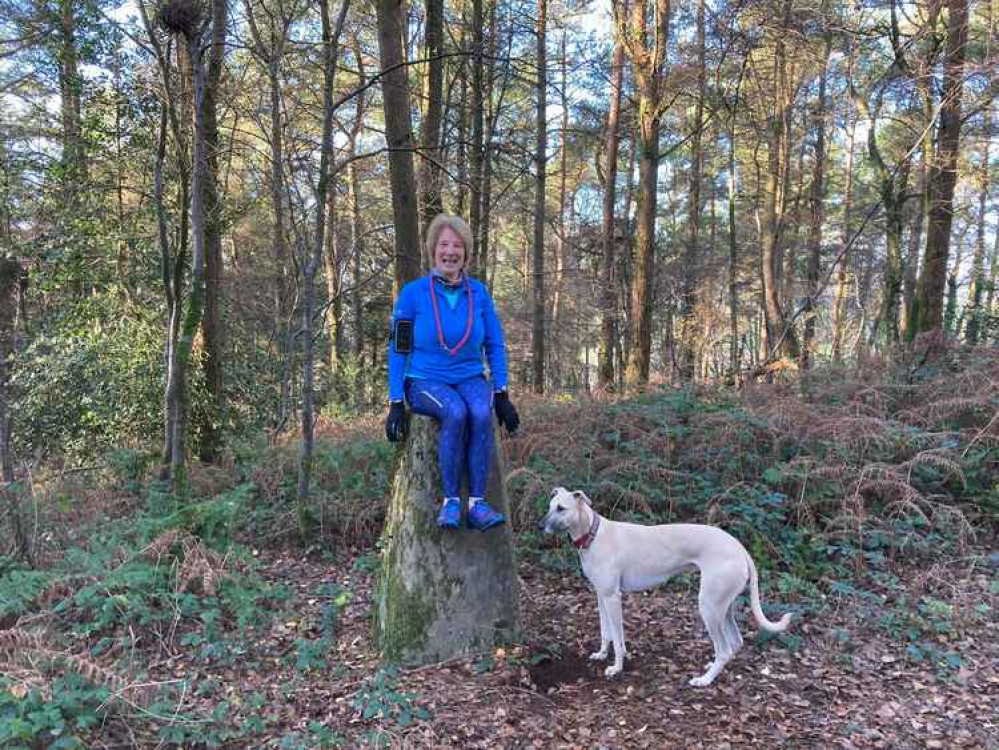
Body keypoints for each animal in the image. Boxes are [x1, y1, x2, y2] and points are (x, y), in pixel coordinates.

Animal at [536, 488, 792, 688]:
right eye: (549, 506)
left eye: (561, 508)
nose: (538, 526)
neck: (594, 533)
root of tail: (740, 548)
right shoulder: (601, 596)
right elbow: (605, 632)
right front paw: (601, 654)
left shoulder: (612, 597)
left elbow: (618, 638)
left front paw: (617, 667)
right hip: (723, 607)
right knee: (735, 642)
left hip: (709, 607)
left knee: (725, 648)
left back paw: (704, 680)